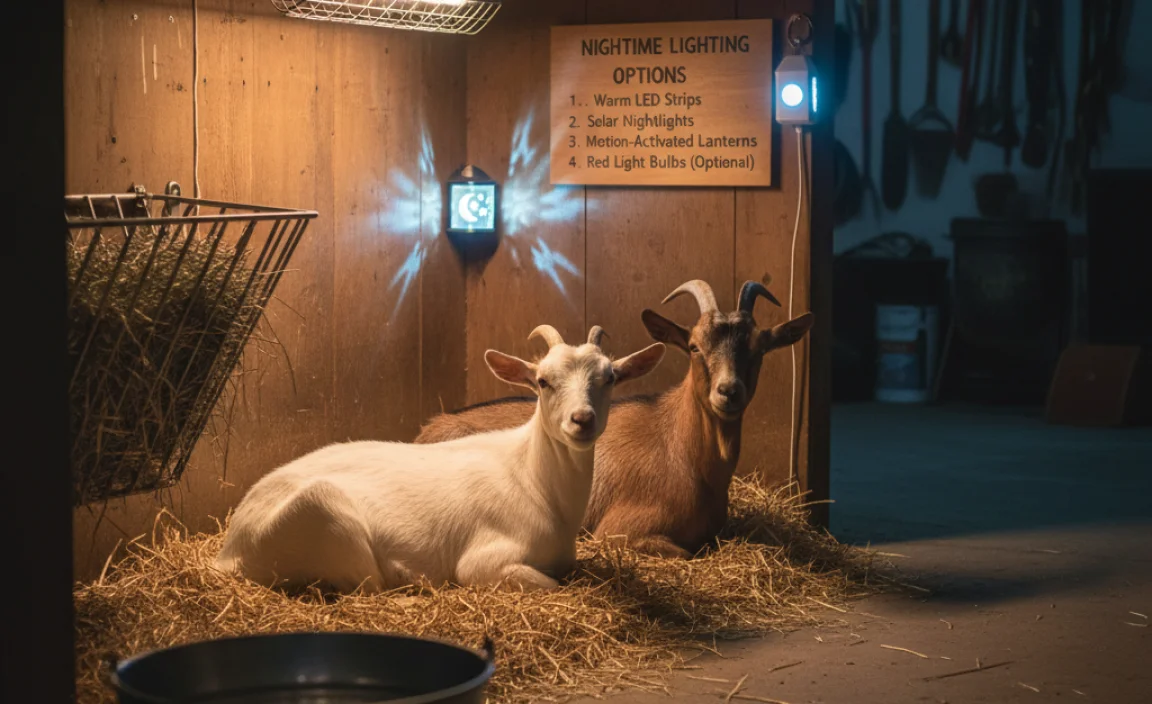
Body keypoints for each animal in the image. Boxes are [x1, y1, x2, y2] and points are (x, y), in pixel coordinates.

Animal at [212, 325, 666, 592]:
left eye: (610, 378)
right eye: (542, 380)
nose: (582, 420)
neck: (533, 479)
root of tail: (229, 549)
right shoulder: (484, 561)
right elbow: (551, 586)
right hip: (326, 514)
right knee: (368, 584)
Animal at [414, 280, 814, 559]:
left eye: (760, 349)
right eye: (694, 347)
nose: (728, 392)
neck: (680, 449)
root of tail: (427, 429)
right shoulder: (619, 529)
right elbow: (688, 553)